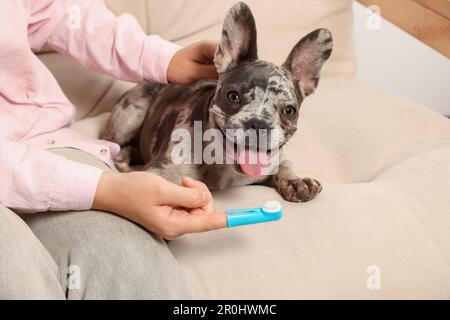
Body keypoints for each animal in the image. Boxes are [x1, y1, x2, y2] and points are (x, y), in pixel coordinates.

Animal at [103, 1, 334, 202]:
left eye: (289, 110)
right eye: (233, 96)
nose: (259, 124)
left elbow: (284, 162)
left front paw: (296, 181)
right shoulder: (158, 171)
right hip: (130, 116)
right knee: (112, 143)